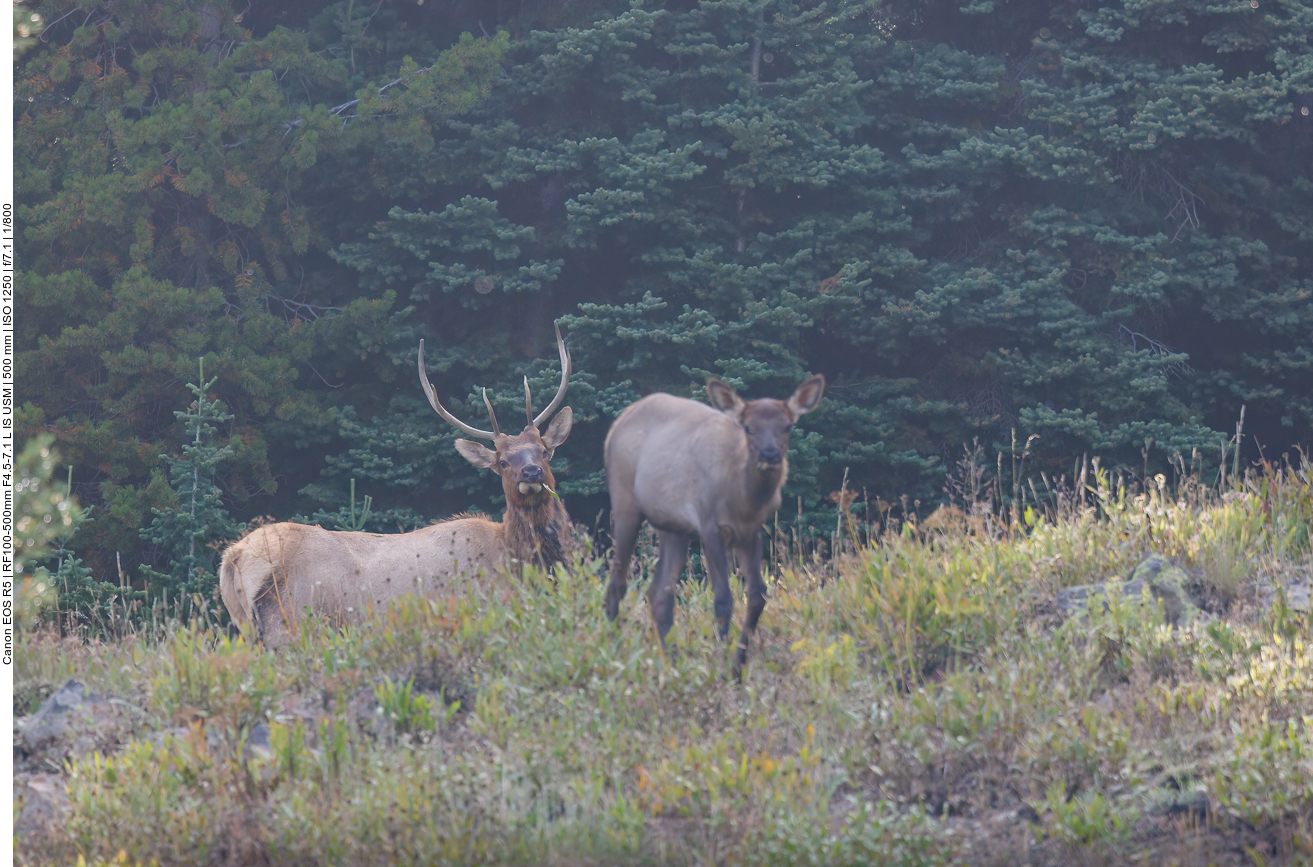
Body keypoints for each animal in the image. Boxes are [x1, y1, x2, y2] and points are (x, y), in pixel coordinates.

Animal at [220, 327, 575, 651]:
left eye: (544, 450)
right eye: (502, 461)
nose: (531, 472)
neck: (517, 559)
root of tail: (233, 557)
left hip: (245, 625)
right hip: (290, 621)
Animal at [601, 373, 819, 677]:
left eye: (787, 425)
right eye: (749, 427)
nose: (770, 454)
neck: (743, 499)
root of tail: (614, 428)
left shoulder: (752, 531)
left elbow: (757, 595)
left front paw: (738, 667)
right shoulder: (709, 525)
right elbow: (723, 598)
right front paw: (722, 664)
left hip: (675, 527)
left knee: (658, 593)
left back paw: (675, 663)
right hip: (625, 504)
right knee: (617, 583)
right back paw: (613, 652)